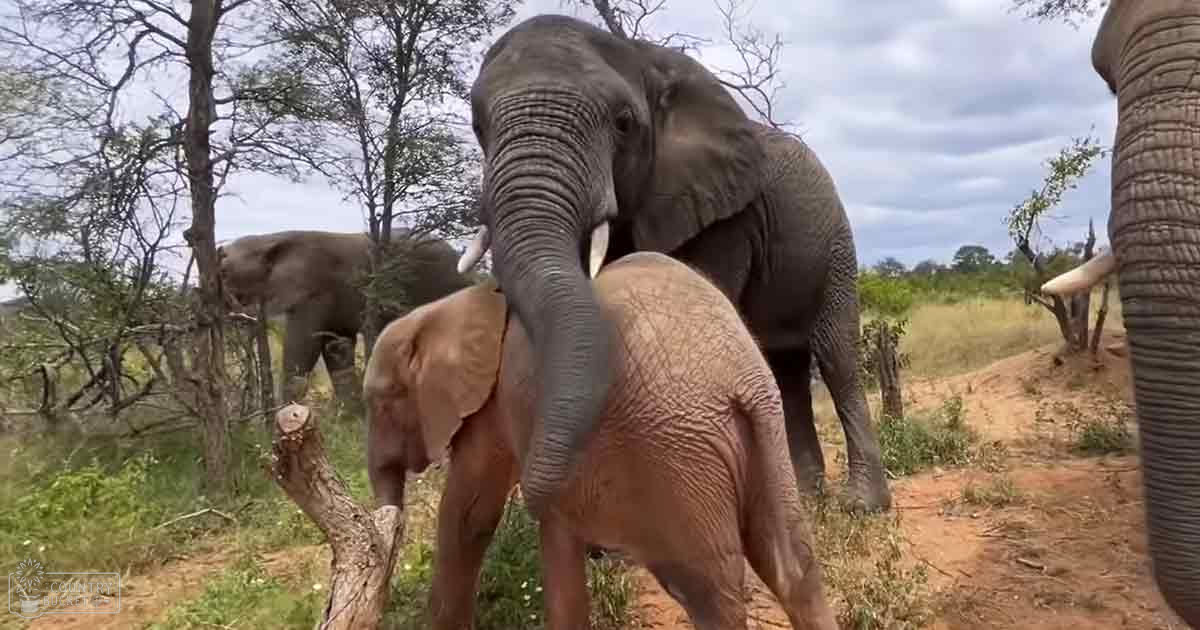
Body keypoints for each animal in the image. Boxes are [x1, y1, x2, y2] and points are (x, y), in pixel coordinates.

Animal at [217, 229, 472, 412]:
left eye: (224, 272)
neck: (269, 239)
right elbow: (336, 348)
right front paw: (350, 417)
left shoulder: (314, 291)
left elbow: (303, 347)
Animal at [364, 252, 838, 630]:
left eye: (381, 402)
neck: (453, 307)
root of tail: (740, 381)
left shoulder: (492, 406)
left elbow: (468, 515)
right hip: (764, 437)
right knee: (796, 570)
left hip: (673, 459)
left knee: (708, 591)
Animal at [454, 14, 891, 515]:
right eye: (478, 126)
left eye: (623, 123)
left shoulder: (724, 218)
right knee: (788, 368)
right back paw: (806, 500)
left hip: (835, 244)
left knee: (836, 357)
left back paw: (862, 505)